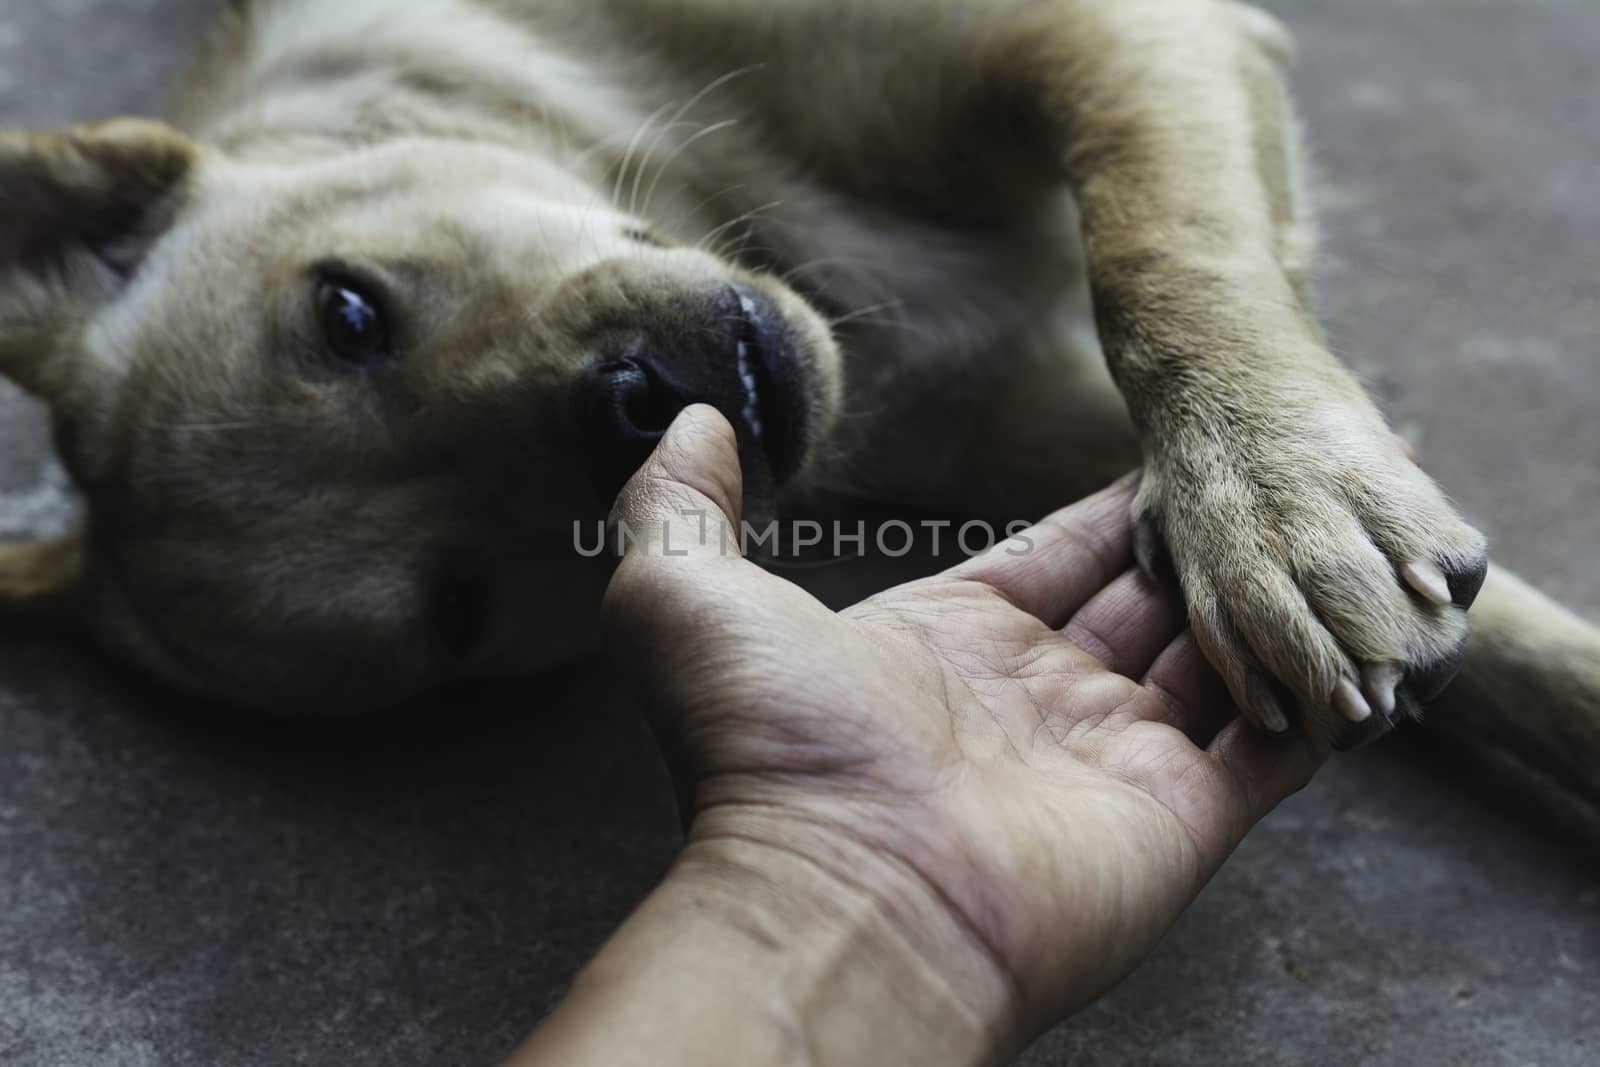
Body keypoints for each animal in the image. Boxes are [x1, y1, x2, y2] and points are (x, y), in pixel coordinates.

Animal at [0, 0, 1593, 799]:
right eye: (455, 608)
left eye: (344, 315)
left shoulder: (1106, 35)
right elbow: (1527, 651)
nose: (636, 406)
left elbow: (1163, 252)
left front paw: (1269, 500)